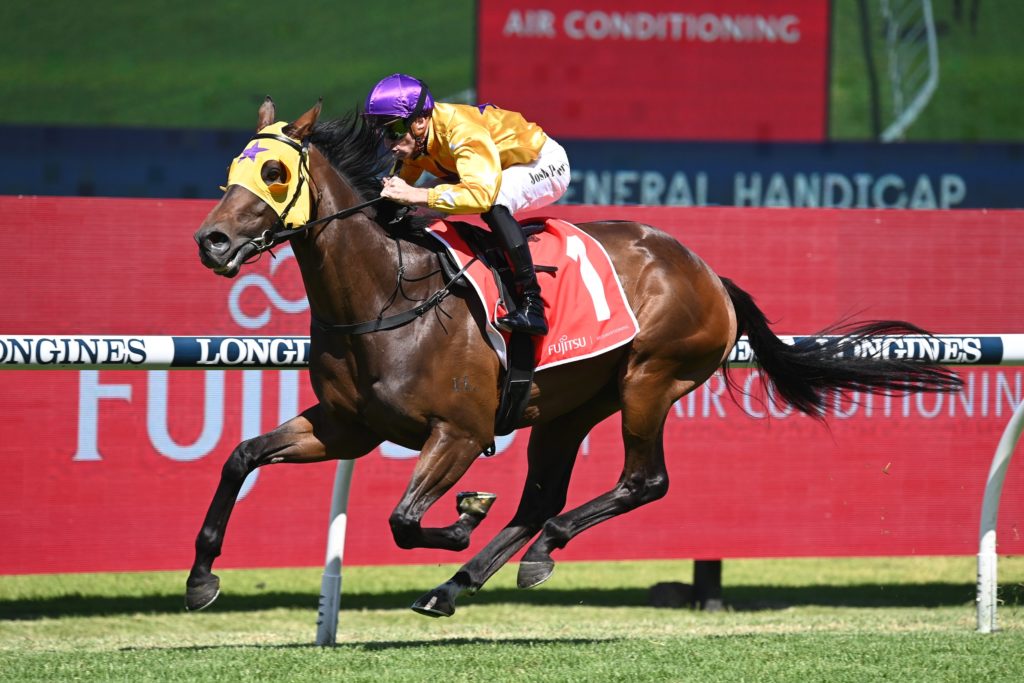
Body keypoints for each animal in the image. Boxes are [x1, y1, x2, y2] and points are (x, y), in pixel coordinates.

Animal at [187, 98, 961, 617]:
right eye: (229, 169)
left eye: (276, 170)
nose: (212, 242)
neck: (384, 292)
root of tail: (707, 270)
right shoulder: (348, 426)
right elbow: (241, 457)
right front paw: (201, 578)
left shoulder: (459, 431)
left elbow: (405, 519)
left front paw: (464, 511)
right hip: (567, 408)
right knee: (541, 498)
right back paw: (457, 584)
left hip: (651, 379)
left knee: (642, 481)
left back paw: (534, 554)